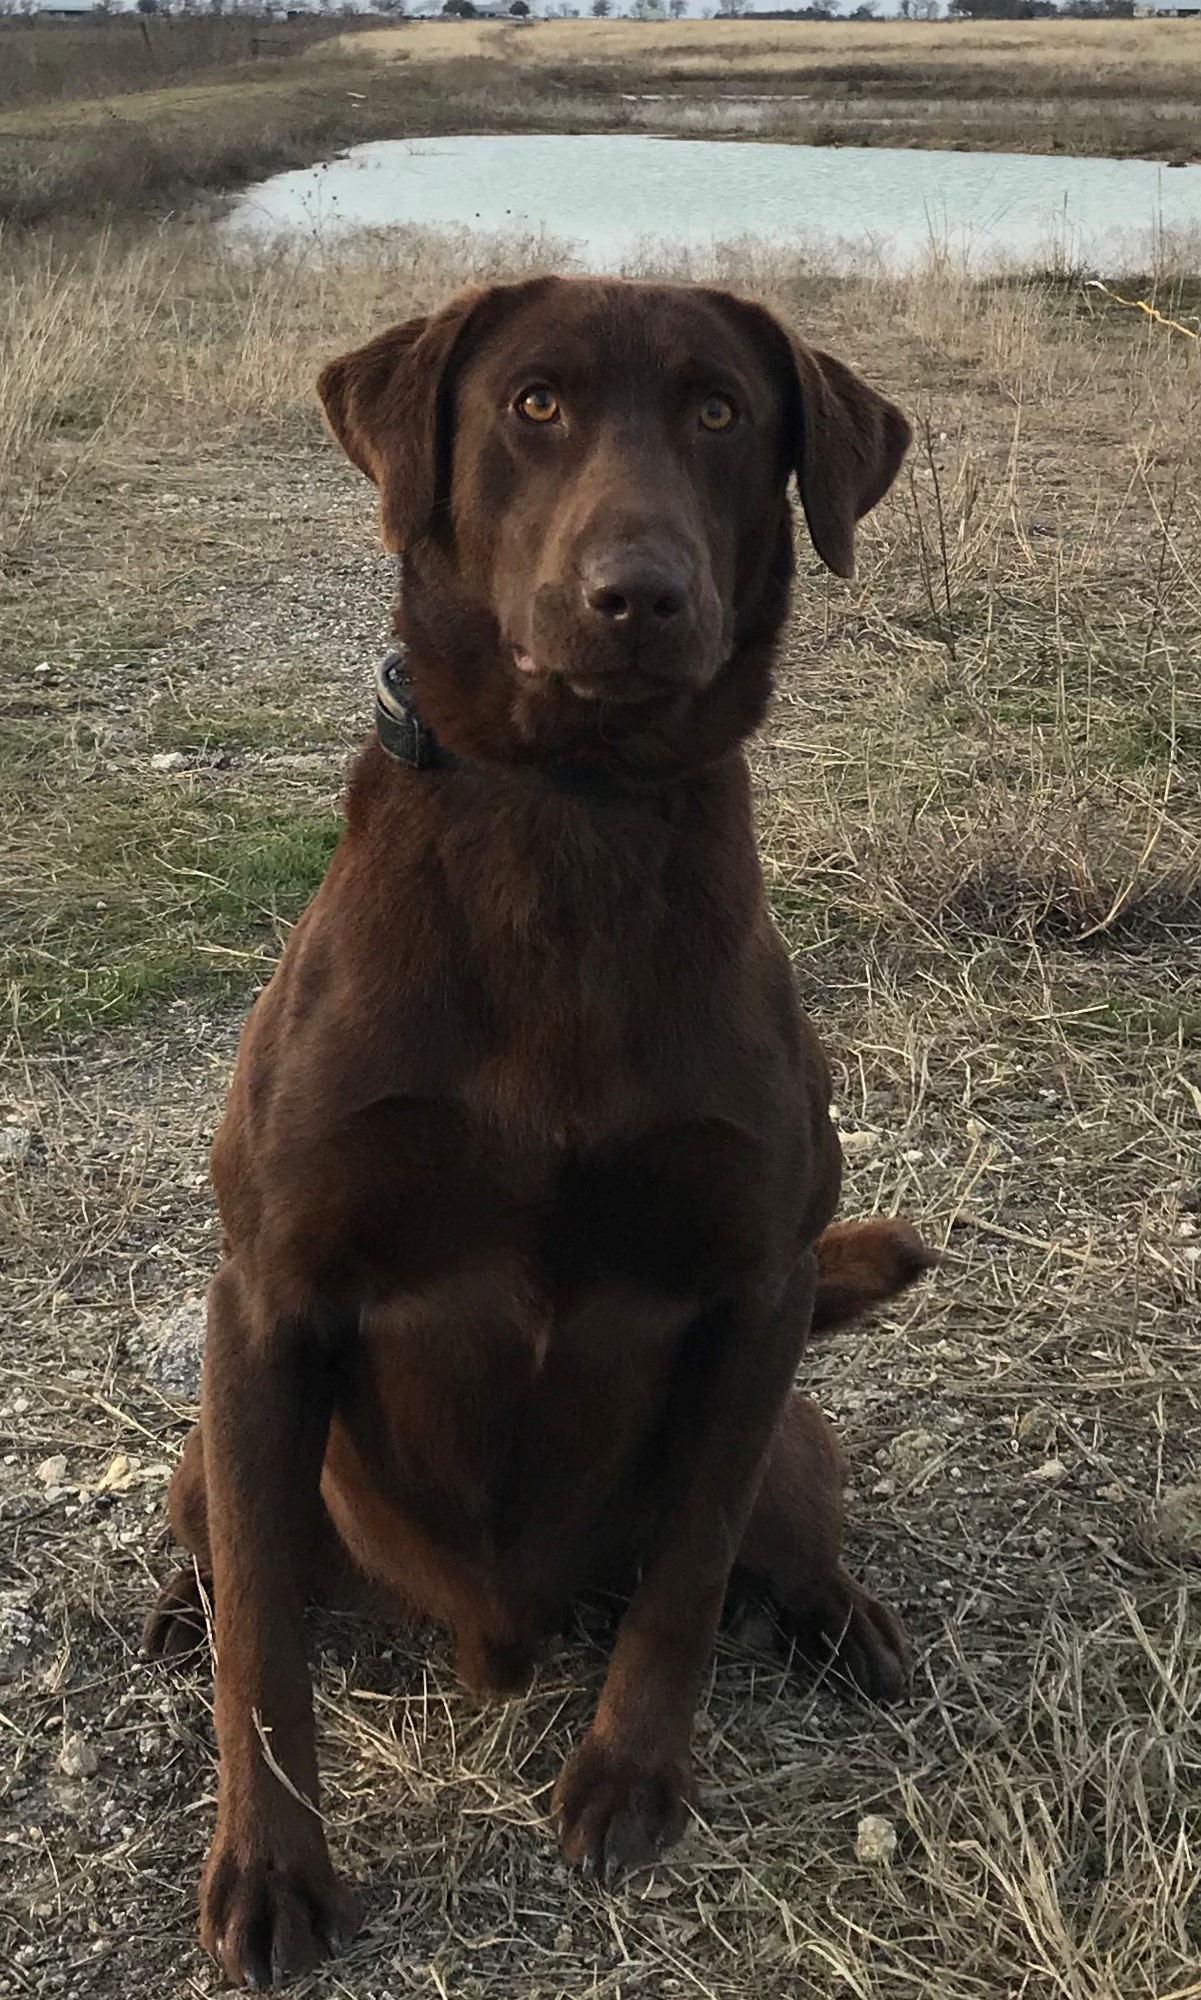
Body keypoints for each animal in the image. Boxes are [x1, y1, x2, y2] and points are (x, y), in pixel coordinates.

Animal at [145, 278, 932, 1984]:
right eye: (536, 406)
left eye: (720, 413)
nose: (637, 595)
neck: (565, 814)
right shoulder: (270, 1293)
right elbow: (265, 1649)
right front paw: (273, 1867)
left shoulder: (758, 1287)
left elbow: (686, 1576)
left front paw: (631, 1777)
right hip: (205, 1444)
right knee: (224, 1559)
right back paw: (176, 1609)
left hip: (790, 1424)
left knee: (777, 1538)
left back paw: (845, 1623)